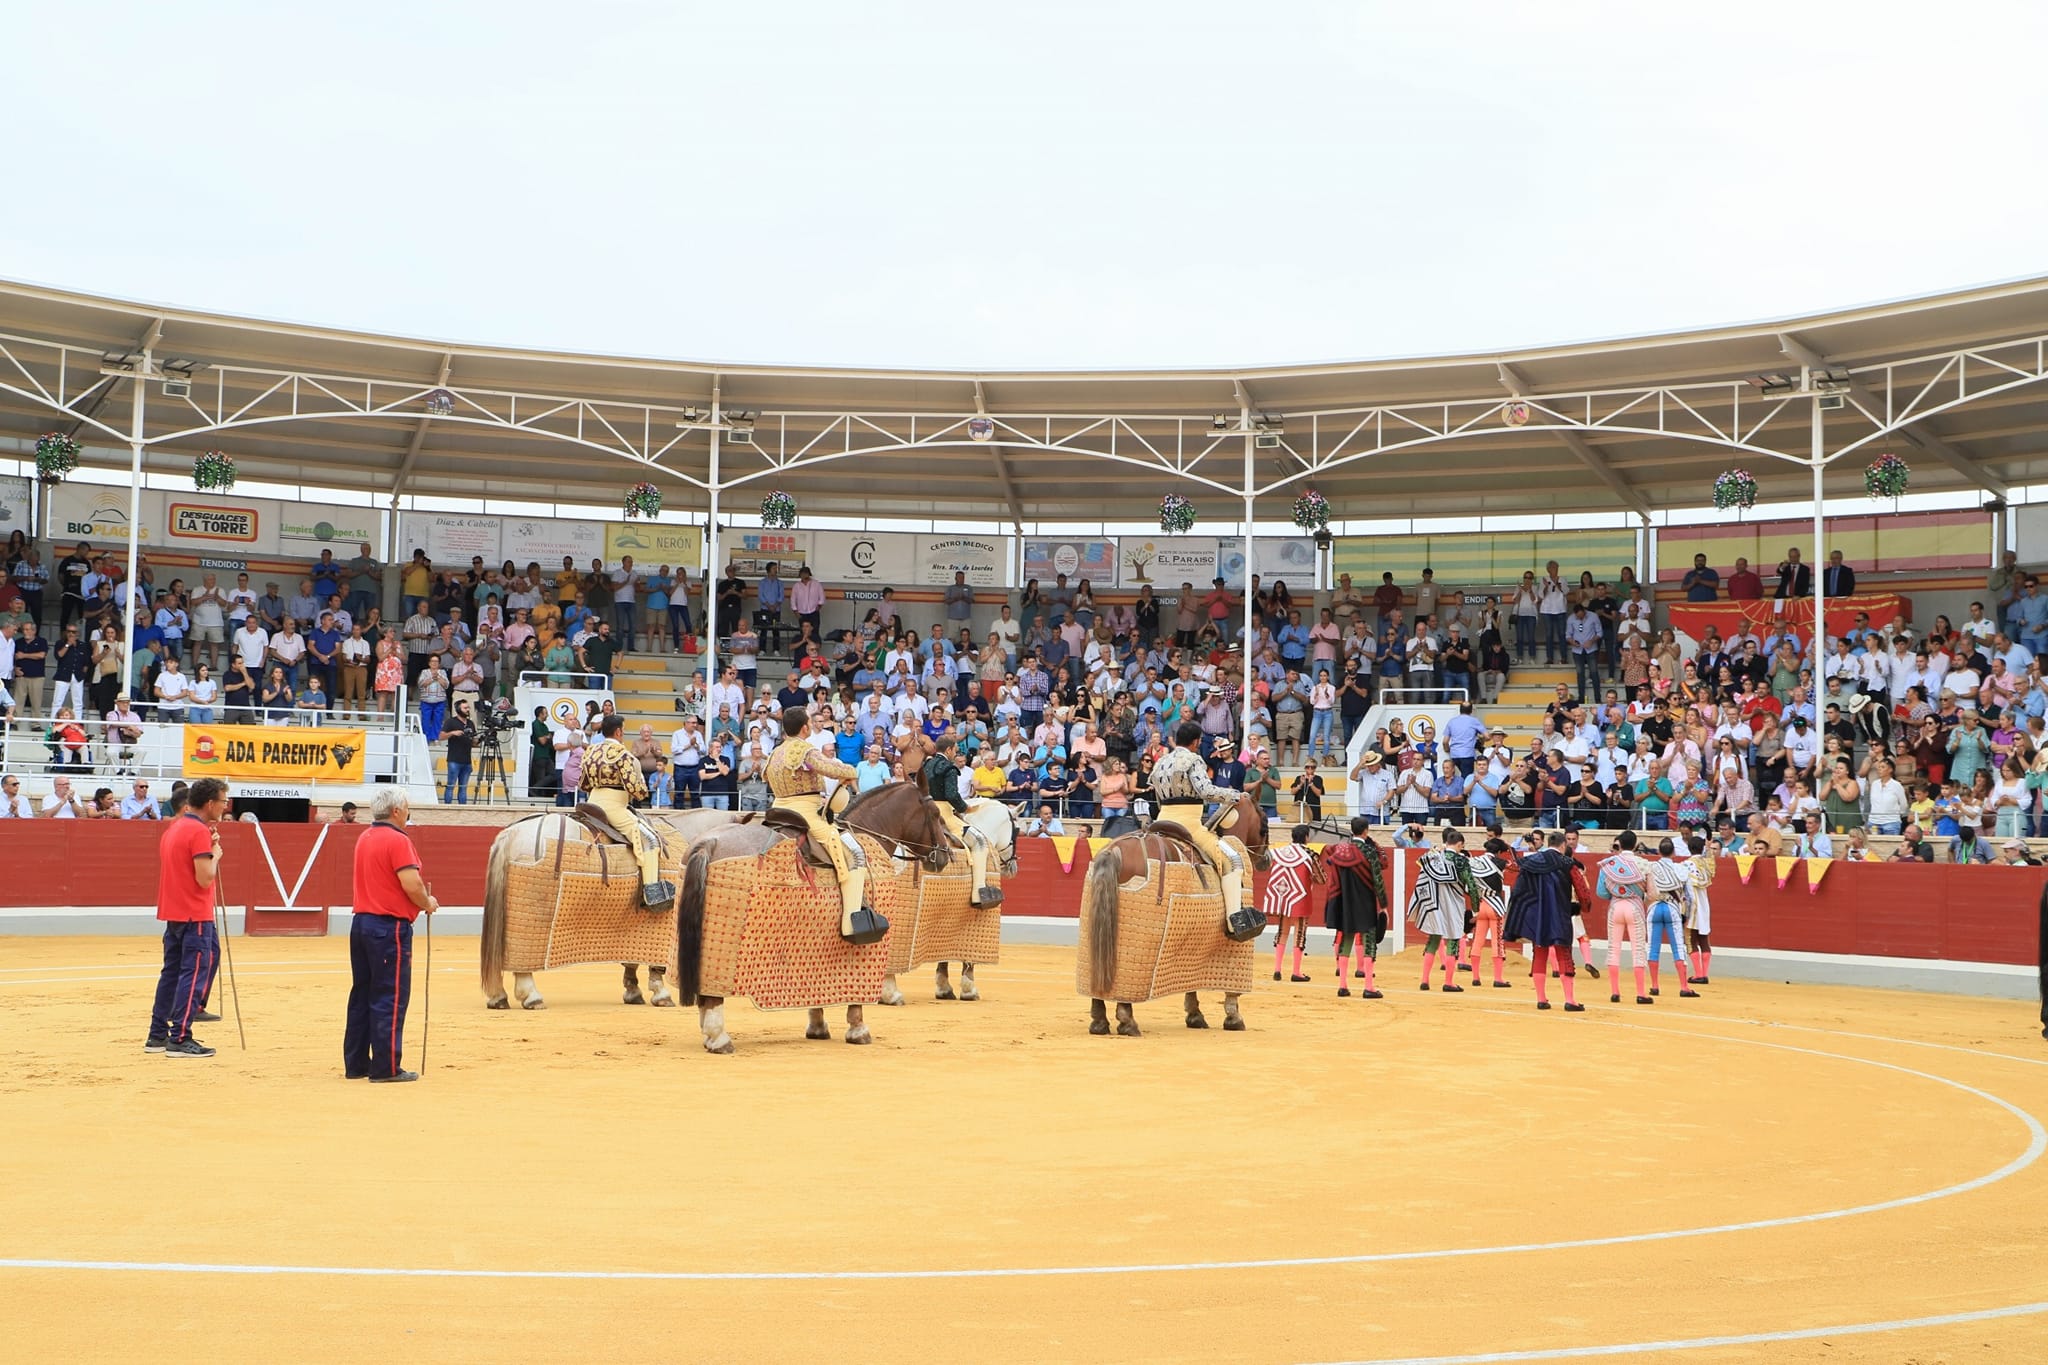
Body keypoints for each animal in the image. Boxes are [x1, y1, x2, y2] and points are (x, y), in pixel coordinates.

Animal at [1081, 789, 1269, 1035]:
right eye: (1264, 824)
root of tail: (1112, 851)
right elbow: (1230, 988)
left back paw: (1099, 1021)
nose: (1266, 860)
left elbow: (1190, 979)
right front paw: (1233, 1018)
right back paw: (1127, 1021)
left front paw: (1195, 1015)